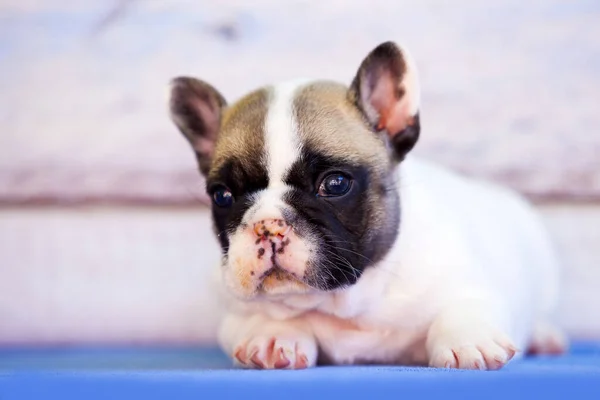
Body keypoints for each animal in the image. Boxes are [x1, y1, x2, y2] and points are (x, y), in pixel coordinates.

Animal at [170, 42, 568, 370]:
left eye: (334, 184)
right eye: (222, 196)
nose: (267, 224)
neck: (346, 302)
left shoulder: (471, 284)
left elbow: (463, 307)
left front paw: (467, 341)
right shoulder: (233, 313)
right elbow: (265, 317)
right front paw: (273, 335)